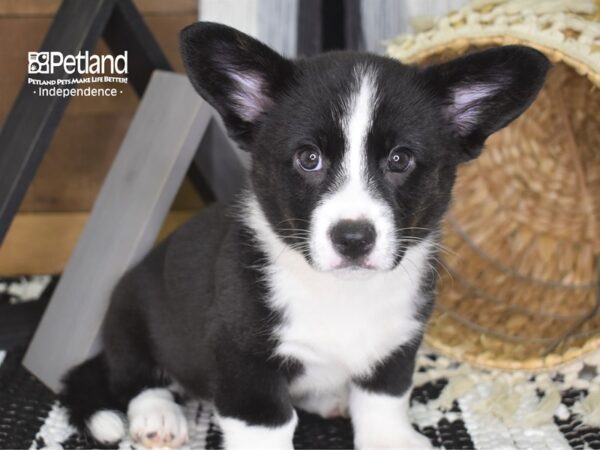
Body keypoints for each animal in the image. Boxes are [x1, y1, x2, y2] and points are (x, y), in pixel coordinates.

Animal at [61, 22, 548, 450]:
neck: (342, 293)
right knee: (134, 378)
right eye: (308, 158)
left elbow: (384, 401)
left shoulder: (396, 343)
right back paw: (158, 417)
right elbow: (268, 427)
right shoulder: (244, 363)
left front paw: (389, 438)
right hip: (128, 313)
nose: (353, 238)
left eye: (400, 159)